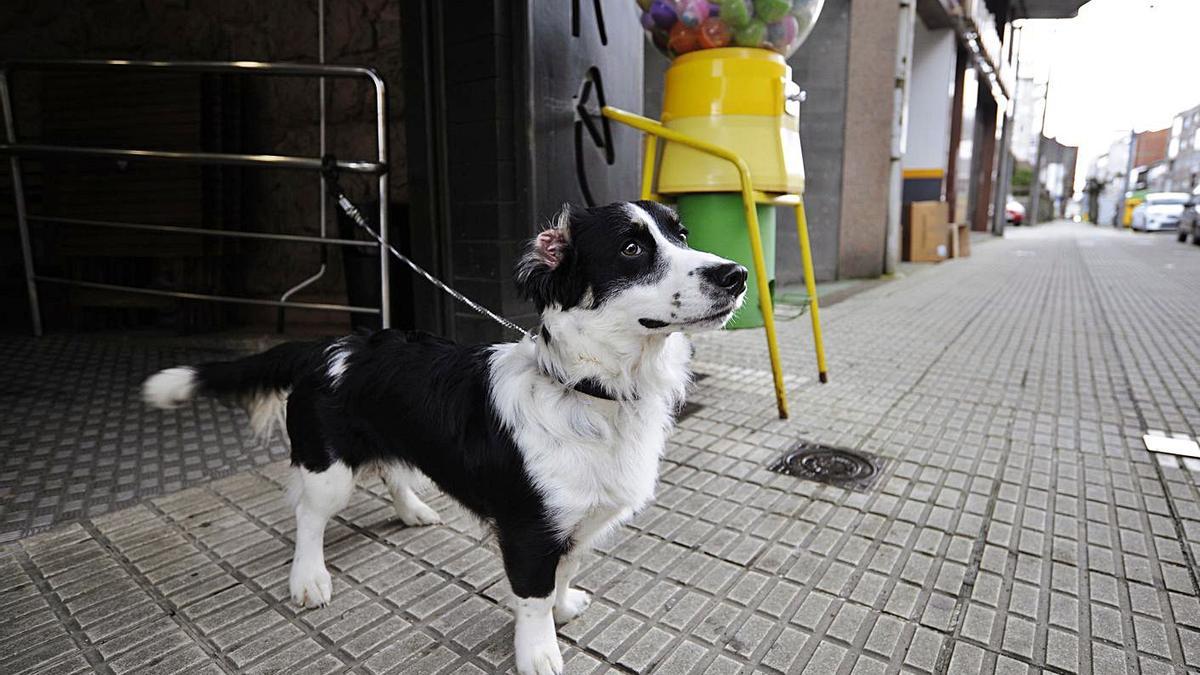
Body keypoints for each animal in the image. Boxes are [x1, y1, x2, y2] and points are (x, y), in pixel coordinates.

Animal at [145, 199, 744, 672]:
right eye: (631, 249)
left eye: (681, 236)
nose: (735, 273)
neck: (585, 389)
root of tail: (329, 346)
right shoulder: (529, 530)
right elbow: (532, 596)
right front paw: (539, 652)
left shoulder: (574, 523)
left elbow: (564, 570)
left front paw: (564, 605)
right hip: (327, 470)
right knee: (309, 517)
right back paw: (309, 578)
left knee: (391, 468)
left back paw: (413, 510)